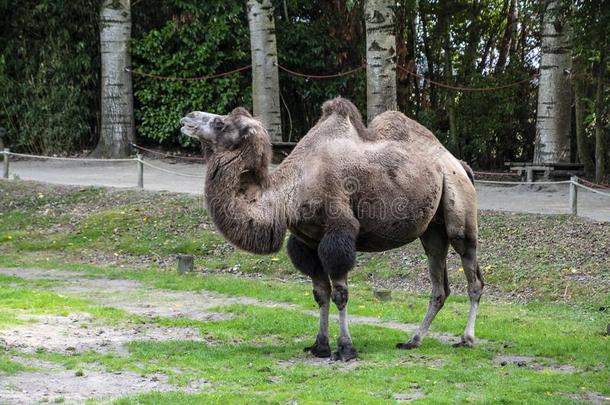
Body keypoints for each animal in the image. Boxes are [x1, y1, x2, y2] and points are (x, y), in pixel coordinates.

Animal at [178, 98, 482, 360]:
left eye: (221, 123)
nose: (187, 117)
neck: (287, 194)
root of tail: (459, 164)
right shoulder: (307, 242)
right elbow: (320, 294)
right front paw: (320, 346)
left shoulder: (338, 234)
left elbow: (340, 294)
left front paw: (345, 348)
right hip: (432, 229)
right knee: (438, 282)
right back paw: (413, 340)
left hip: (458, 205)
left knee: (471, 271)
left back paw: (467, 339)